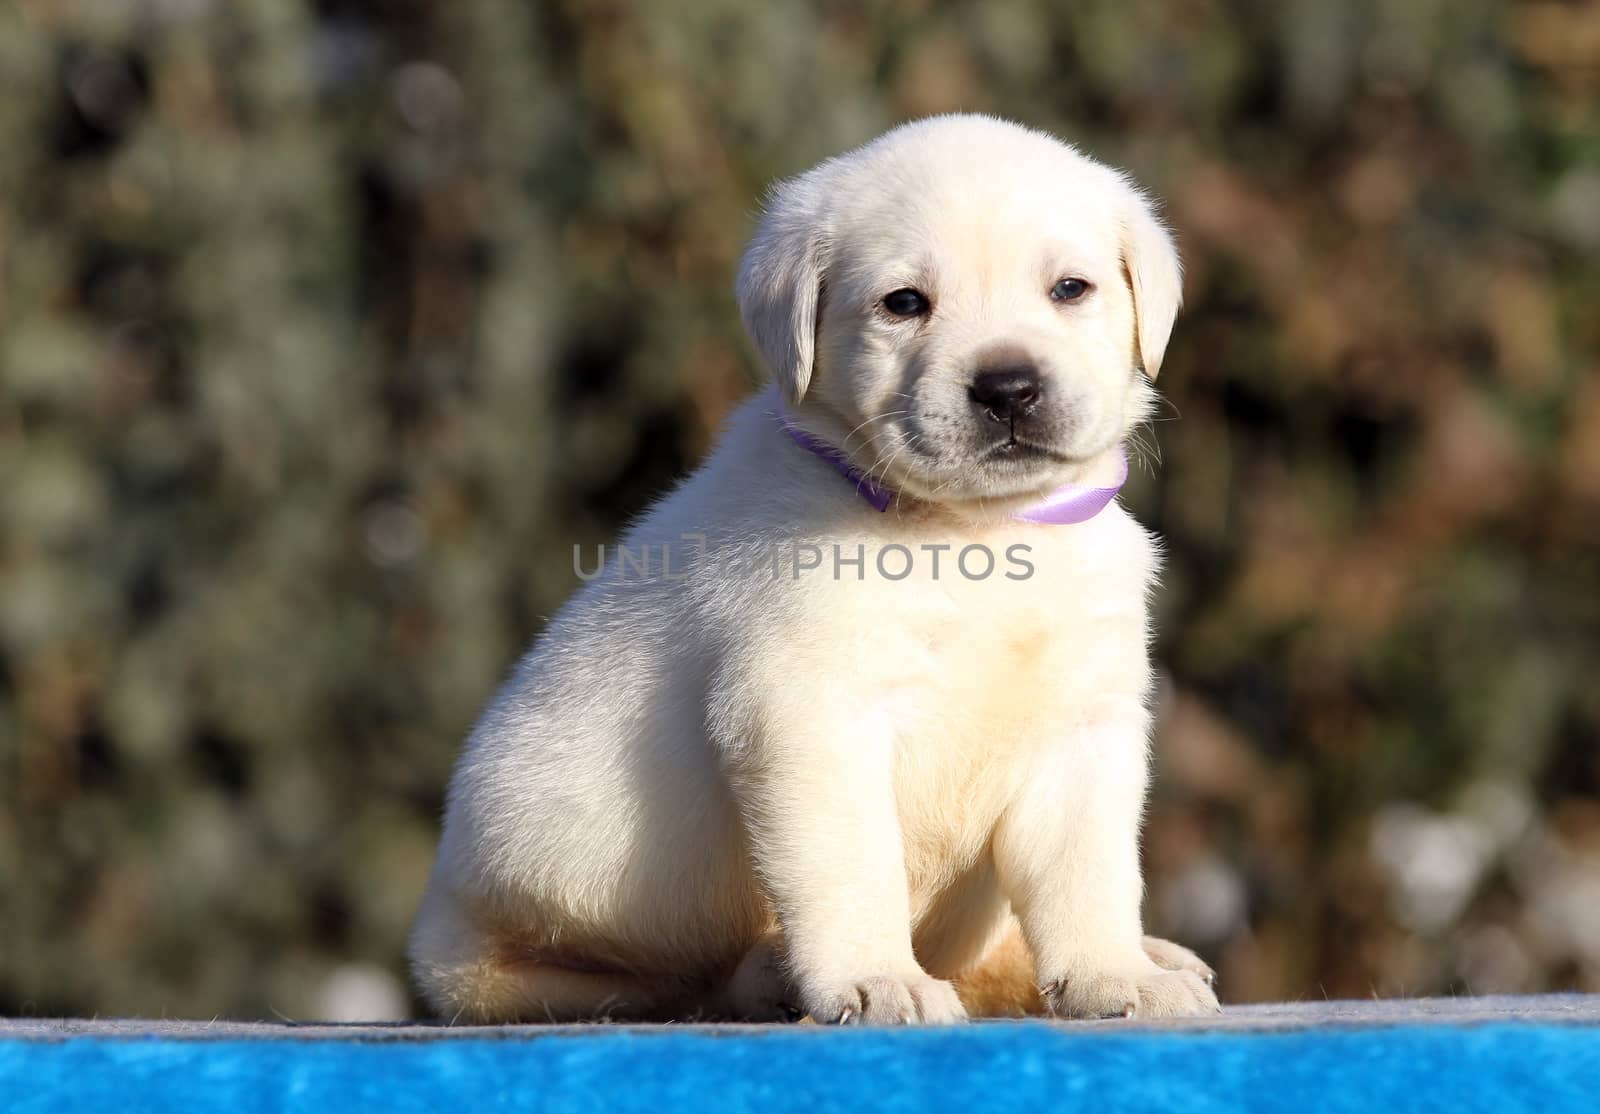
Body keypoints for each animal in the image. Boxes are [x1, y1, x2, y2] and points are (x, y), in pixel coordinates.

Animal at [406, 117, 1216, 1024]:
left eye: (1070, 289)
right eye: (904, 303)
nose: (1008, 387)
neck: (973, 533)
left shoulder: (1083, 727)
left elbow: (1090, 878)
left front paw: (1117, 975)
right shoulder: (810, 715)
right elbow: (853, 870)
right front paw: (878, 978)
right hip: (521, 937)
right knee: (660, 982)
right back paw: (769, 974)